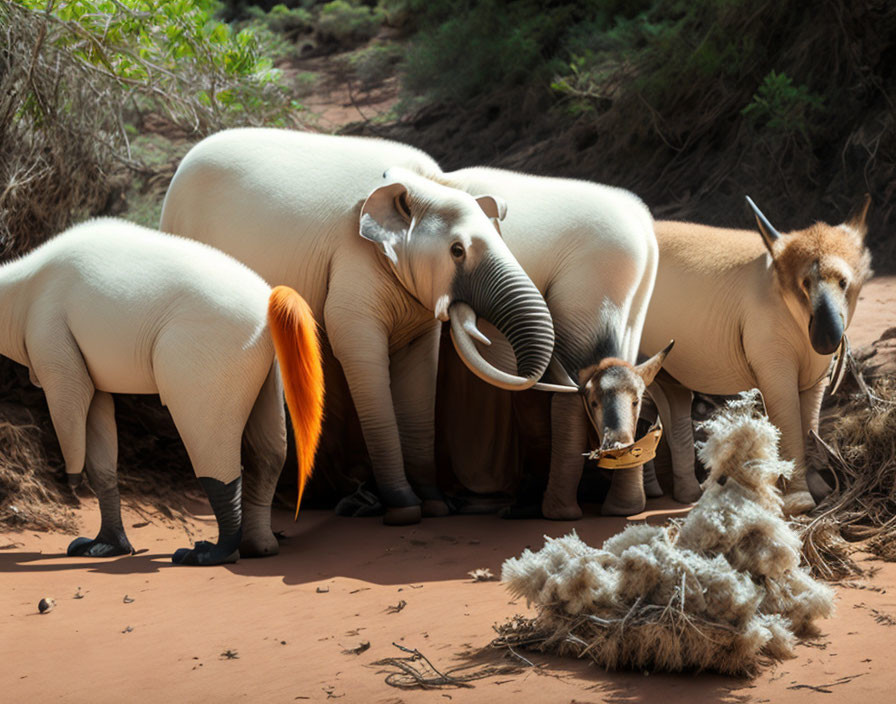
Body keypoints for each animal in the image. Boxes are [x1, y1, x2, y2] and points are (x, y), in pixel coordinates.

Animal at [0, 217, 326, 564]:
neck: (19, 289)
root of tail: (269, 304)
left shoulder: (52, 343)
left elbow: (71, 408)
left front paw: (70, 484)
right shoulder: (89, 372)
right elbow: (101, 458)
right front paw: (107, 545)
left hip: (206, 365)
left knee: (215, 459)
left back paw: (214, 553)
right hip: (267, 374)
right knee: (269, 456)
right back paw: (259, 547)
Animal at [158, 128, 556, 524]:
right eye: (457, 250)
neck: (422, 183)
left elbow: (419, 372)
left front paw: (434, 505)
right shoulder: (352, 261)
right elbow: (356, 347)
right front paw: (404, 508)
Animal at [640, 195, 872, 516]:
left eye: (844, 283)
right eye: (804, 284)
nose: (826, 337)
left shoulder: (815, 371)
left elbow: (810, 419)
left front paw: (820, 490)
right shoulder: (770, 350)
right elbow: (787, 417)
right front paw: (799, 501)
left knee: (672, 397)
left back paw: (687, 495)